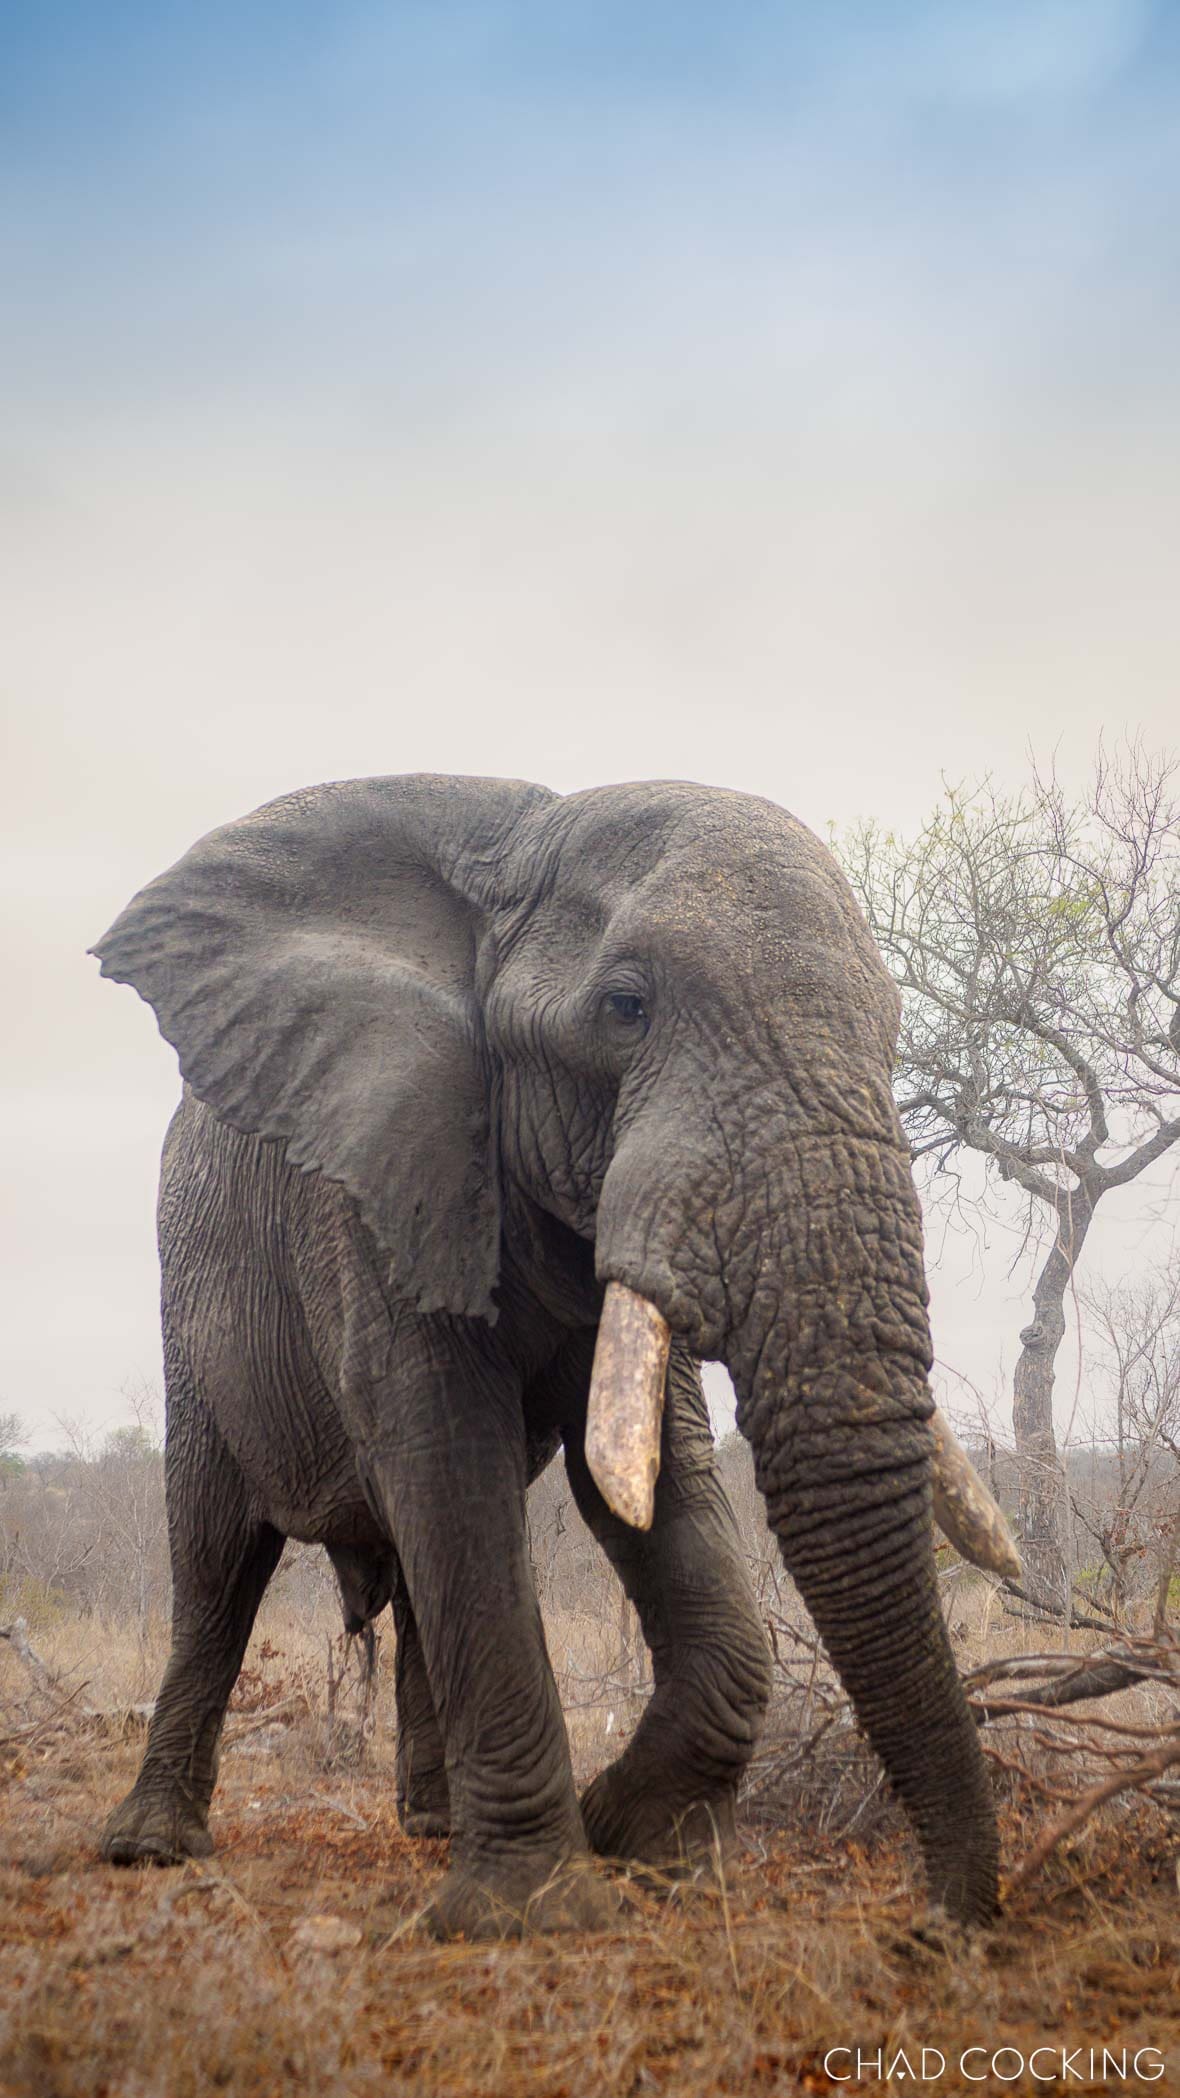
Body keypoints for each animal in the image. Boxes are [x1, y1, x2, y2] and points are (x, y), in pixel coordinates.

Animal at [92, 773, 1013, 1936]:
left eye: (892, 1023)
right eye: (626, 1008)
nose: (937, 1922)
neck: (520, 836)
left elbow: (645, 1471)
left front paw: (638, 1840)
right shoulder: (375, 1186)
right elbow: (448, 1457)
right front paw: (532, 1912)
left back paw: (431, 1823)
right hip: (192, 1307)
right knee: (216, 1556)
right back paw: (149, 1847)